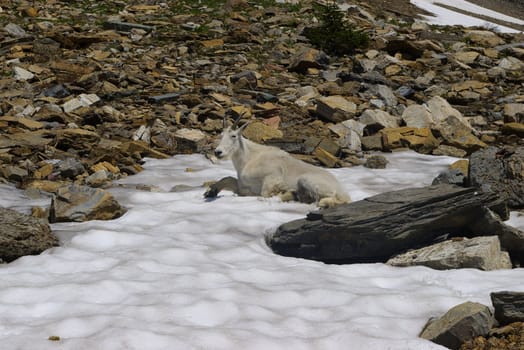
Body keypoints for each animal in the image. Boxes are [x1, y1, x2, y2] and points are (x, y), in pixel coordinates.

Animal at [206, 120, 352, 208]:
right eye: (221, 135)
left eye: (234, 136)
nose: (218, 152)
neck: (248, 159)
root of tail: (342, 190)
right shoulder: (244, 187)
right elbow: (228, 179)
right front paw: (209, 192)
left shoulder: (272, 177)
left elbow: (264, 195)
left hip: (307, 180)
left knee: (332, 198)